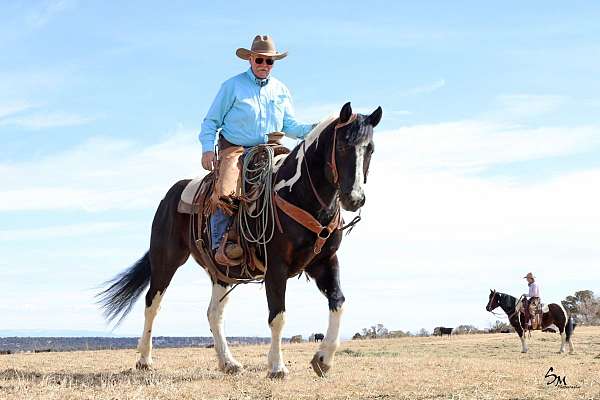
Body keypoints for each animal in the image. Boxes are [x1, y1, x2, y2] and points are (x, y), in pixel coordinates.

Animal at [97, 103, 380, 378]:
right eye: (342, 145)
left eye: (370, 149)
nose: (354, 198)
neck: (300, 195)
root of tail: (171, 195)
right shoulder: (276, 267)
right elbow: (278, 315)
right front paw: (277, 367)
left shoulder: (325, 262)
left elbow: (338, 302)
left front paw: (323, 359)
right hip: (165, 260)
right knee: (152, 304)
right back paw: (144, 360)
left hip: (220, 272)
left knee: (214, 313)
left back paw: (228, 362)